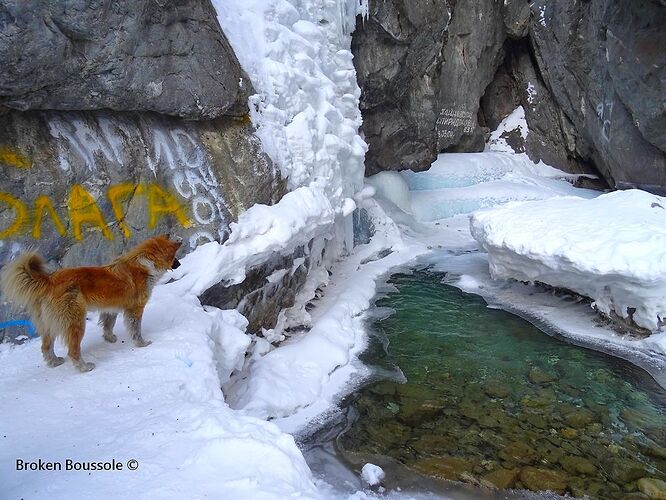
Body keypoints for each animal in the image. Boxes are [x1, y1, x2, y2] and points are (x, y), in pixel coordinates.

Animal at [0, 234, 180, 372]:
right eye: (174, 257)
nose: (179, 264)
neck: (146, 263)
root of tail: (50, 280)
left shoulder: (110, 308)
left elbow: (108, 325)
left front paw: (109, 339)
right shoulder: (135, 309)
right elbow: (136, 330)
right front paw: (141, 343)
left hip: (49, 323)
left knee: (45, 347)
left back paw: (54, 362)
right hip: (76, 322)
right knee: (73, 351)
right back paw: (84, 367)